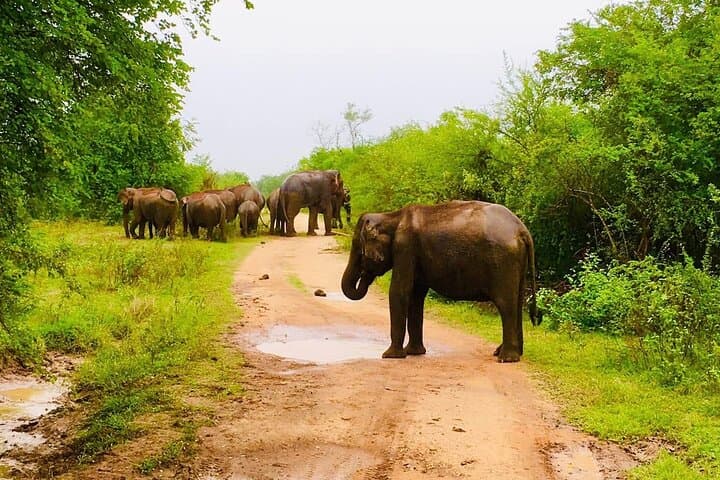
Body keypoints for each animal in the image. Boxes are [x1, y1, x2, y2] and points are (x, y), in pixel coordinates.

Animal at [341, 200, 540, 363]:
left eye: (359, 250)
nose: (365, 274)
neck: (391, 216)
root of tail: (522, 230)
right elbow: (415, 297)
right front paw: (414, 352)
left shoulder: (405, 248)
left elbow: (399, 291)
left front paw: (390, 356)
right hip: (516, 262)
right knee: (517, 303)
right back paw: (507, 353)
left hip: (503, 261)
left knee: (506, 305)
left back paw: (506, 358)